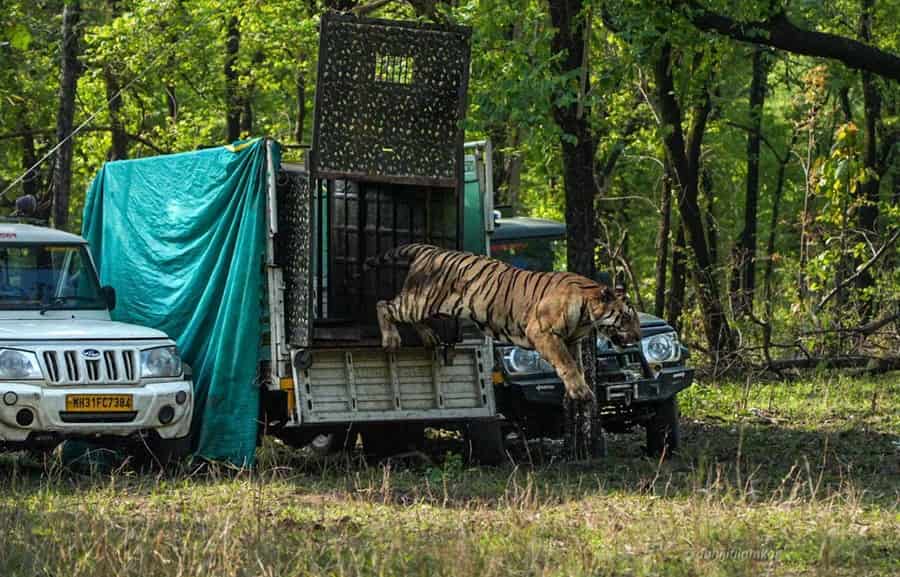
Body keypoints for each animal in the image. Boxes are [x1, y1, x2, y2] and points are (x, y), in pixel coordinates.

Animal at [370, 243, 640, 400]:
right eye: (626, 317)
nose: (638, 337)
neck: (587, 316)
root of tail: (428, 250)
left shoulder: (572, 340)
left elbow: (577, 365)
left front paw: (578, 390)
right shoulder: (543, 333)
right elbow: (567, 363)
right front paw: (580, 391)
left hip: (433, 308)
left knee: (411, 317)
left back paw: (428, 336)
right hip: (418, 301)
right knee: (384, 304)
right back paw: (391, 339)